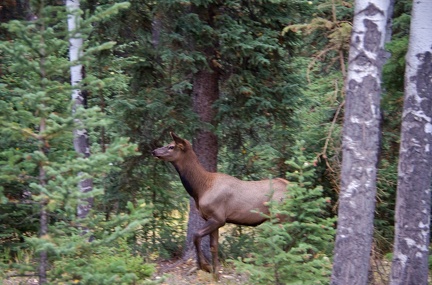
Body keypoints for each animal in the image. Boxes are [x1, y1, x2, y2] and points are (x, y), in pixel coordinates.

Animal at [150, 132, 288, 276]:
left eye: (171, 146)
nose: (154, 151)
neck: (201, 188)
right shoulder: (211, 218)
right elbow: (214, 246)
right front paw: (215, 272)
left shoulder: (218, 217)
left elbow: (196, 235)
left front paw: (205, 266)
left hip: (281, 217)